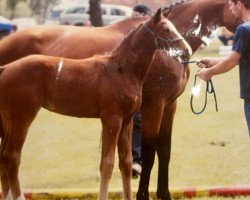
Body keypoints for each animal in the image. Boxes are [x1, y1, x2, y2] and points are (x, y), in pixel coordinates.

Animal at [0, 0, 242, 200]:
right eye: (166, 29)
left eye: (174, 27)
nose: (185, 50)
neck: (121, 67)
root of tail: (6, 67)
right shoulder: (129, 113)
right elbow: (124, 159)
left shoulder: (144, 113)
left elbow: (142, 157)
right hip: (22, 117)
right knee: (12, 158)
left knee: (4, 156)